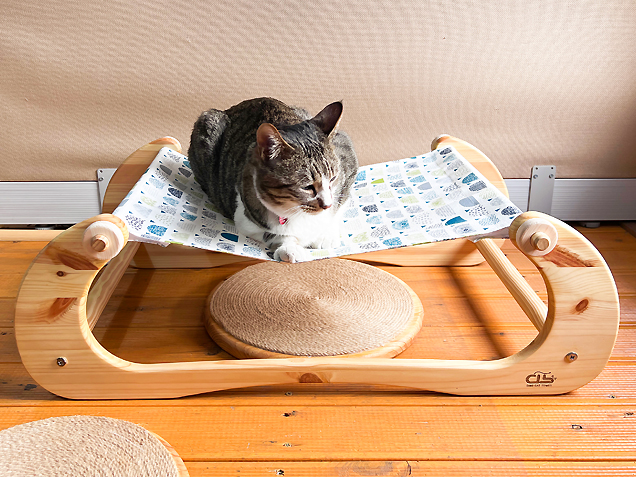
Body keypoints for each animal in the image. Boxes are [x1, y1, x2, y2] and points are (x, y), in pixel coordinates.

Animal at [188, 96, 358, 260]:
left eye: (333, 178)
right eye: (307, 187)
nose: (327, 205)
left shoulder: (346, 161)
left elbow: (340, 205)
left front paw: (326, 235)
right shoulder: (246, 216)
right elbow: (275, 234)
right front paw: (290, 248)